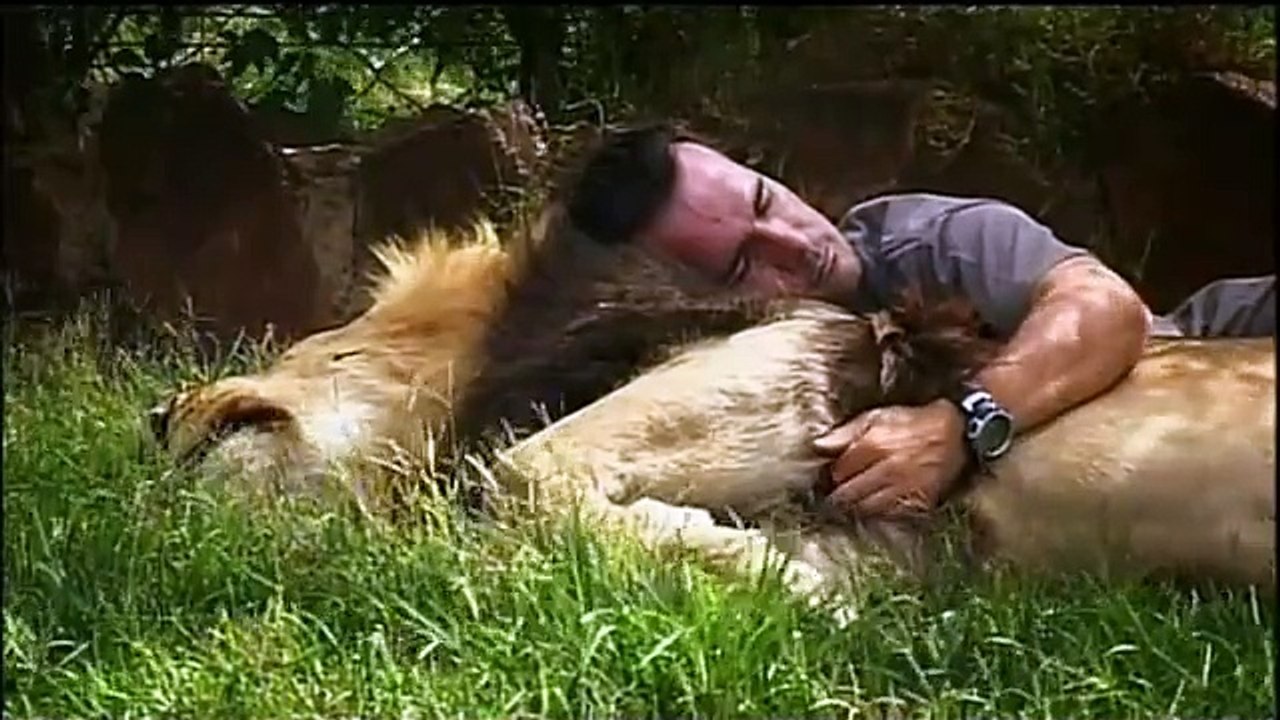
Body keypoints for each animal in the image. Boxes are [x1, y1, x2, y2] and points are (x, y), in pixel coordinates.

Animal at [149, 215, 1276, 611]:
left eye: (306, 344)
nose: (156, 414)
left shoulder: (794, 369)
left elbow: (524, 489)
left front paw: (781, 585)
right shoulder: (886, 542)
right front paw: (788, 587)